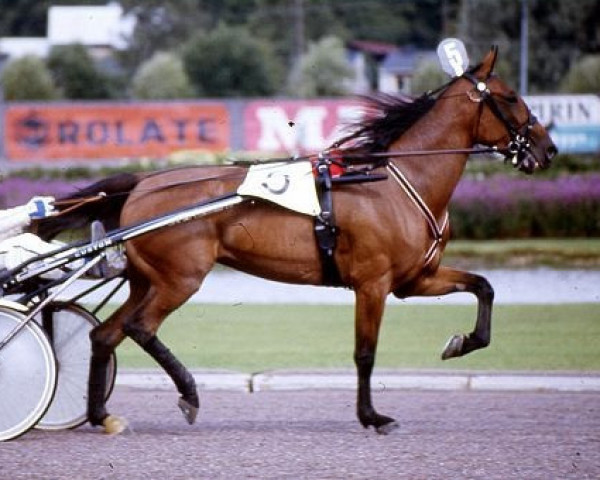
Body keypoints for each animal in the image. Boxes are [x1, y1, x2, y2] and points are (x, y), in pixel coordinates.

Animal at [37, 47, 556, 434]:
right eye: (511, 97)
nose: (548, 149)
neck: (392, 180)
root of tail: (142, 184)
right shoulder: (373, 283)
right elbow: (365, 352)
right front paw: (373, 416)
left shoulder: (415, 278)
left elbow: (483, 286)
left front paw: (462, 341)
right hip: (179, 279)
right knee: (141, 328)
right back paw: (188, 394)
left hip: (148, 279)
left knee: (106, 334)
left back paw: (102, 415)